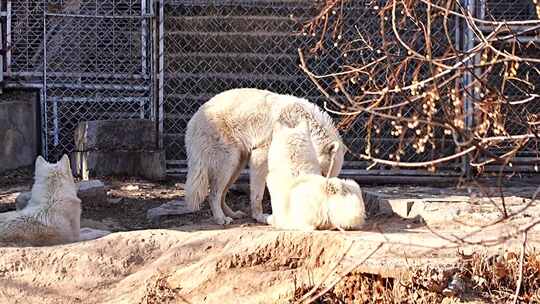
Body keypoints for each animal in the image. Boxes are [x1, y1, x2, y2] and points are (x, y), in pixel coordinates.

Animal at [186, 86, 346, 224]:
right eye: (323, 173)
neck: (300, 121)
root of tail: (193, 123)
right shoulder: (261, 156)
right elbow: (258, 193)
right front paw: (260, 217)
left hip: (237, 165)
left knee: (222, 194)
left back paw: (233, 214)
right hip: (228, 162)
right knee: (213, 194)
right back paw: (221, 219)